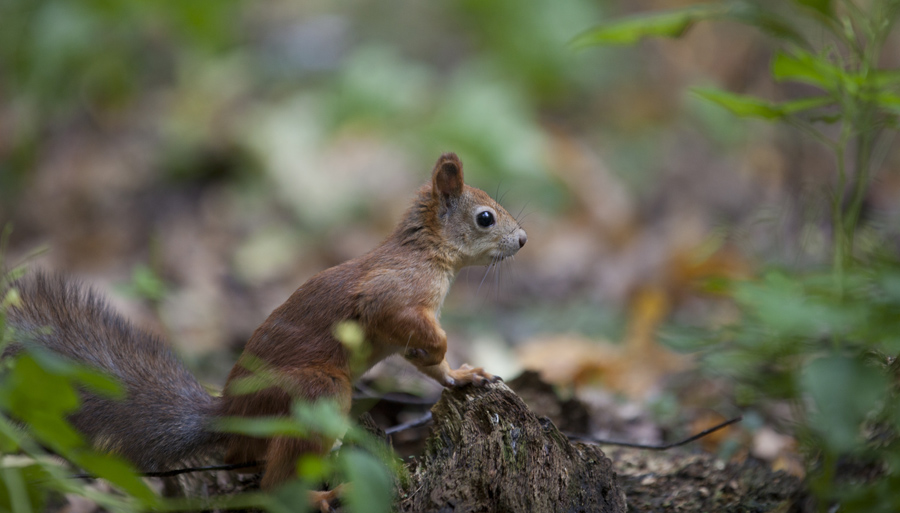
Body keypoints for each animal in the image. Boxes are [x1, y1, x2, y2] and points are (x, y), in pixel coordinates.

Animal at [3, 151, 528, 492]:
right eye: (485, 217)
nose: (523, 239)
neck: (428, 252)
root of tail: (228, 417)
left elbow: (428, 367)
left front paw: (463, 375)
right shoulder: (392, 295)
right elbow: (407, 324)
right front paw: (443, 348)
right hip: (316, 393)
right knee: (278, 484)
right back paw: (321, 496)